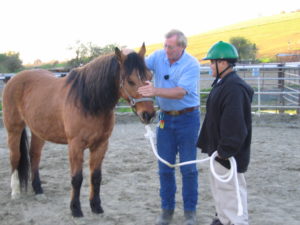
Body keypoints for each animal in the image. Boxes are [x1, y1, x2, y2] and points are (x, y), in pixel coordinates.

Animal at [2, 43, 156, 217]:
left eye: (150, 76)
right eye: (130, 81)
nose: (149, 114)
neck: (88, 101)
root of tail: (14, 79)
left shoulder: (101, 144)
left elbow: (96, 177)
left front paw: (96, 206)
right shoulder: (75, 145)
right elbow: (77, 178)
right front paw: (75, 209)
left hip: (38, 131)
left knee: (34, 155)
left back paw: (39, 190)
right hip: (14, 128)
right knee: (15, 157)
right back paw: (15, 192)